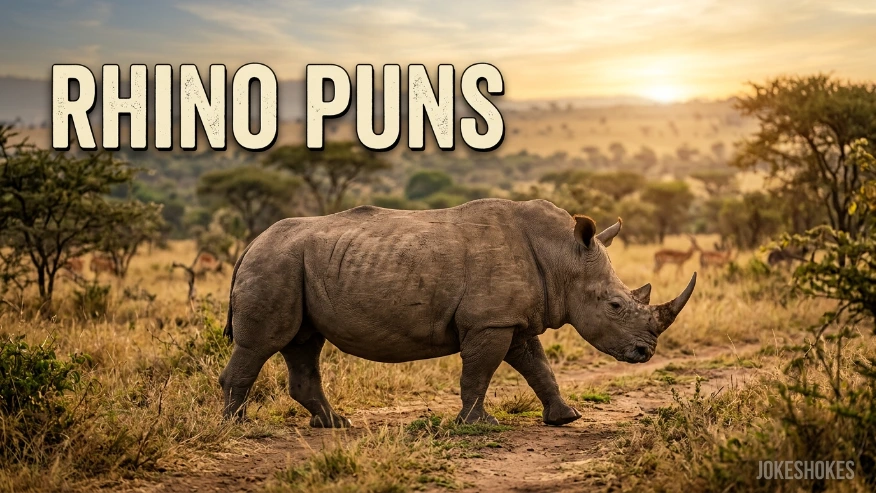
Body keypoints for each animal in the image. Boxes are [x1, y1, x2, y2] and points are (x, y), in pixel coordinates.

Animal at [220, 198, 696, 427]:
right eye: (614, 306)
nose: (645, 352)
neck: (563, 256)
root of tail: (250, 244)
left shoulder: (511, 319)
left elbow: (538, 366)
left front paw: (566, 419)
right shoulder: (490, 320)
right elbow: (480, 371)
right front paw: (477, 424)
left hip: (292, 264)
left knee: (303, 344)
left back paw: (336, 425)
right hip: (276, 263)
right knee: (264, 344)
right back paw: (236, 426)